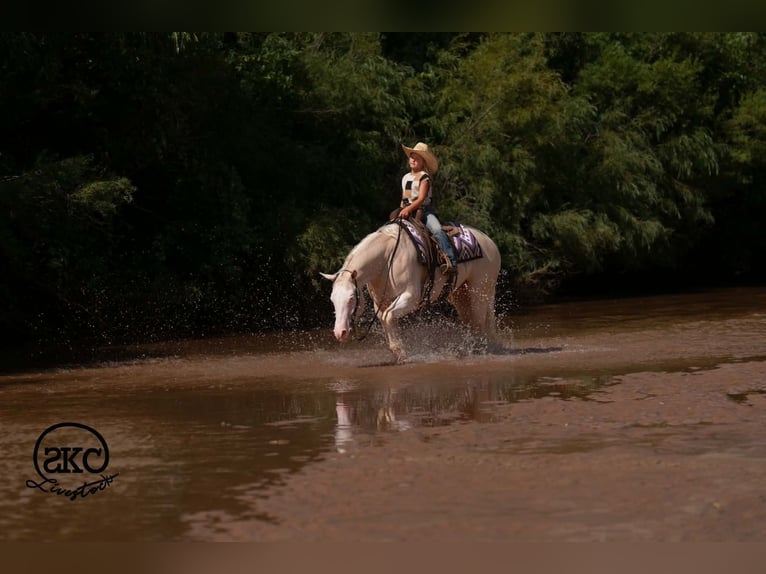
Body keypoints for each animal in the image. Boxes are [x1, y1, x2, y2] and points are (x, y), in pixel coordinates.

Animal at [321, 220, 502, 363]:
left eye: (352, 298)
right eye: (332, 299)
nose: (340, 333)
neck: (387, 259)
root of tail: (490, 243)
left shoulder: (410, 298)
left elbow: (388, 316)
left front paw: (400, 352)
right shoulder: (381, 302)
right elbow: (385, 318)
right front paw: (398, 352)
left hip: (479, 291)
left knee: (479, 322)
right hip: (460, 294)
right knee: (471, 321)